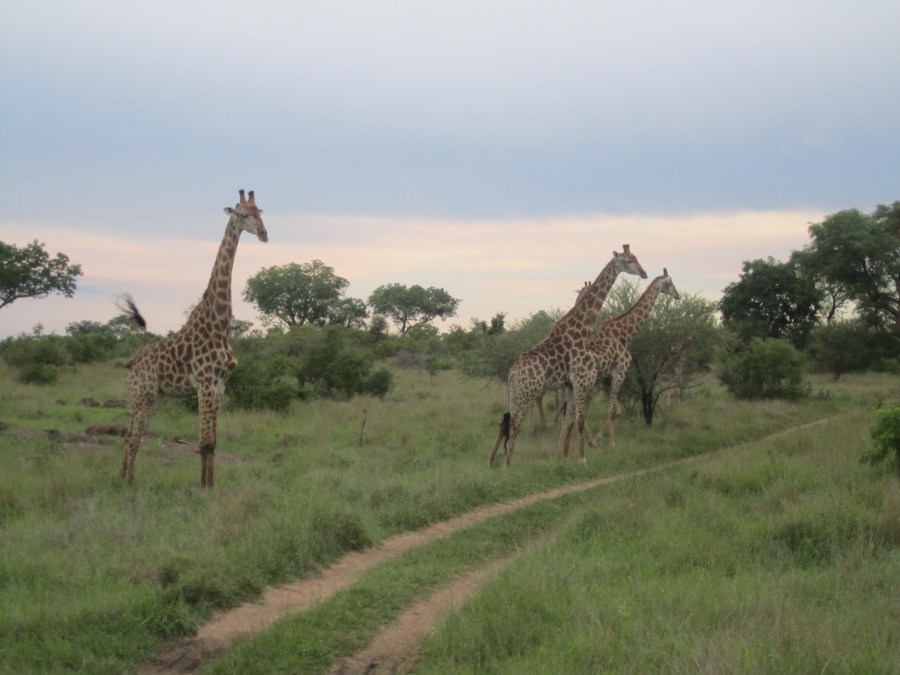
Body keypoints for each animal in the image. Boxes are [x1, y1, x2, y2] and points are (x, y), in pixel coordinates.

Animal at [119, 190, 268, 487]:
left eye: (260, 212)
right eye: (242, 214)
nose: (264, 233)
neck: (219, 325)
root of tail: (133, 361)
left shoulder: (220, 385)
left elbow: (212, 443)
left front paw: (210, 485)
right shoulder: (205, 383)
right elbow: (204, 443)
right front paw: (203, 487)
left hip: (156, 397)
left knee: (133, 434)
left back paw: (125, 478)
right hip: (141, 395)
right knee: (132, 436)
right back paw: (126, 483)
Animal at [488, 245, 647, 467]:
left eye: (636, 258)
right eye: (628, 261)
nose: (644, 273)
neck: (582, 329)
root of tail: (512, 372)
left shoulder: (571, 383)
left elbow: (570, 420)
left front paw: (565, 456)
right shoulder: (580, 380)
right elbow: (578, 419)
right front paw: (582, 458)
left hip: (513, 392)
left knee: (506, 420)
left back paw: (495, 460)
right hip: (529, 392)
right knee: (516, 423)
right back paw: (507, 464)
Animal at [560, 269, 679, 453]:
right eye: (670, 283)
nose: (677, 295)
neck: (624, 334)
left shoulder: (608, 378)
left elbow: (617, 410)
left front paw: (600, 439)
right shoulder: (619, 372)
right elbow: (612, 410)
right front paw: (611, 442)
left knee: (570, 412)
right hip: (583, 384)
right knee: (575, 412)